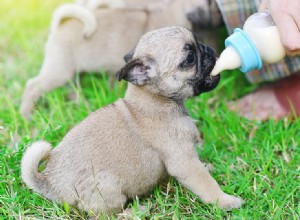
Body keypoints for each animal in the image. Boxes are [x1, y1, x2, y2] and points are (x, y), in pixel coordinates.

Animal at [20, 0, 213, 118]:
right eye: (190, 57)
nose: (208, 49)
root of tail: (60, 26)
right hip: (59, 71)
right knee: (32, 86)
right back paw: (26, 114)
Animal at [22, 26, 245, 215]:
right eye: (190, 58)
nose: (208, 49)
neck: (154, 100)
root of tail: (52, 182)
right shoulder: (184, 161)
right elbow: (205, 183)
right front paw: (225, 201)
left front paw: (208, 167)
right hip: (109, 189)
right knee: (105, 214)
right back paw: (135, 211)